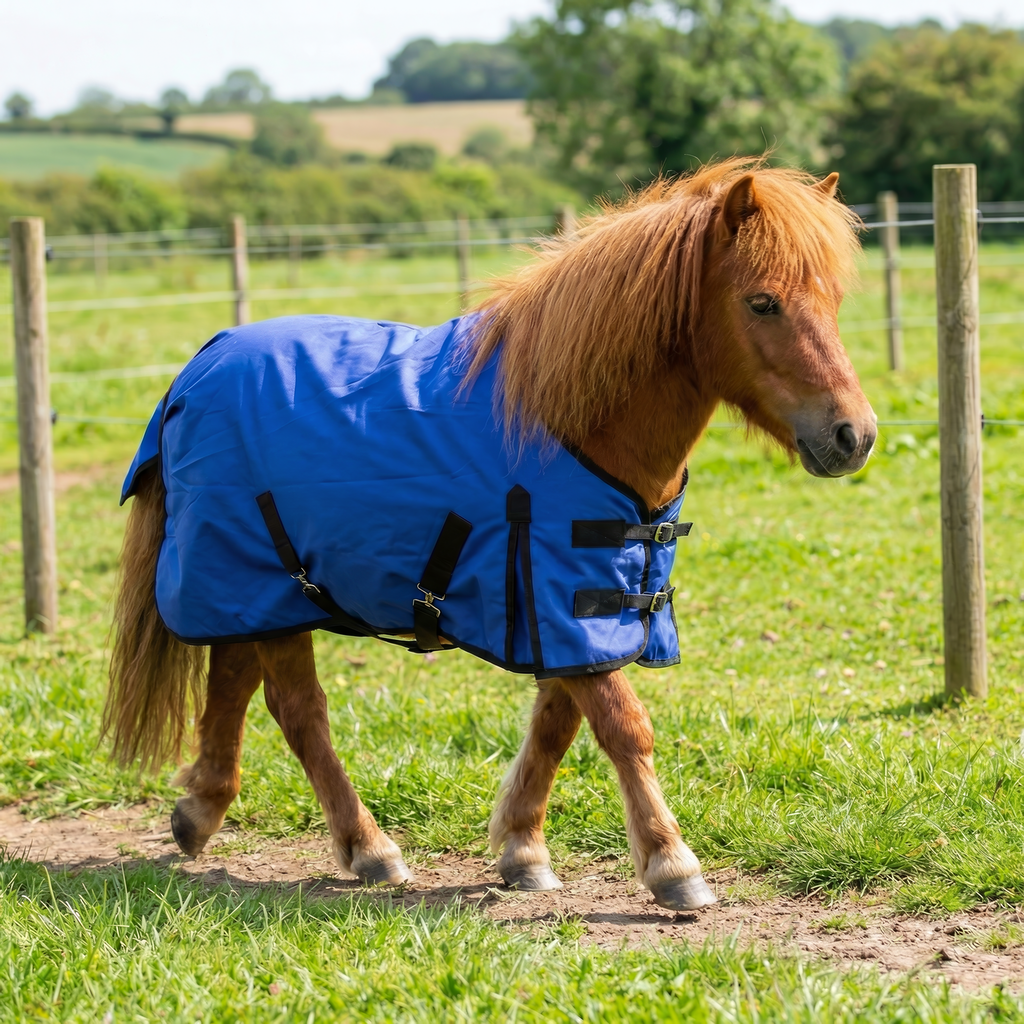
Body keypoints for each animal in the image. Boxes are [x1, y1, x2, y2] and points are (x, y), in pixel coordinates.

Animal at [104, 158, 876, 912]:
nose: (855, 435)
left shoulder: (579, 607)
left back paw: (200, 810)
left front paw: (522, 848)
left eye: (836, 298)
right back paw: (368, 848)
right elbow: (622, 724)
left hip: (254, 591)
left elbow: (557, 722)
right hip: (270, 584)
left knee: (232, 673)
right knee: (298, 712)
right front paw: (669, 862)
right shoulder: (562, 602)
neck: (571, 421)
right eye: (762, 302)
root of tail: (197, 369)